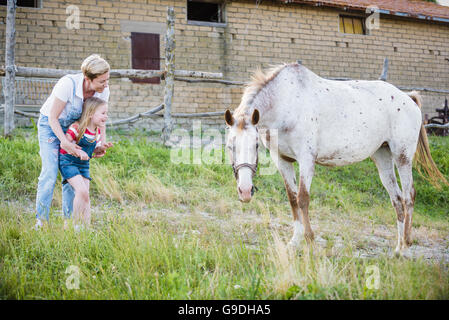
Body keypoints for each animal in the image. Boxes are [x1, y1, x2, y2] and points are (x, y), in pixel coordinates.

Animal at [226, 63, 446, 256]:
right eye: (230, 146)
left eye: (255, 145)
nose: (245, 191)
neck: (287, 103)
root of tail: (408, 98)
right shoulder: (282, 160)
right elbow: (292, 198)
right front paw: (294, 241)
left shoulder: (306, 159)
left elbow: (303, 198)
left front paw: (310, 241)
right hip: (382, 158)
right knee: (397, 199)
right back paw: (398, 249)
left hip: (402, 157)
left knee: (409, 196)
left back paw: (407, 247)